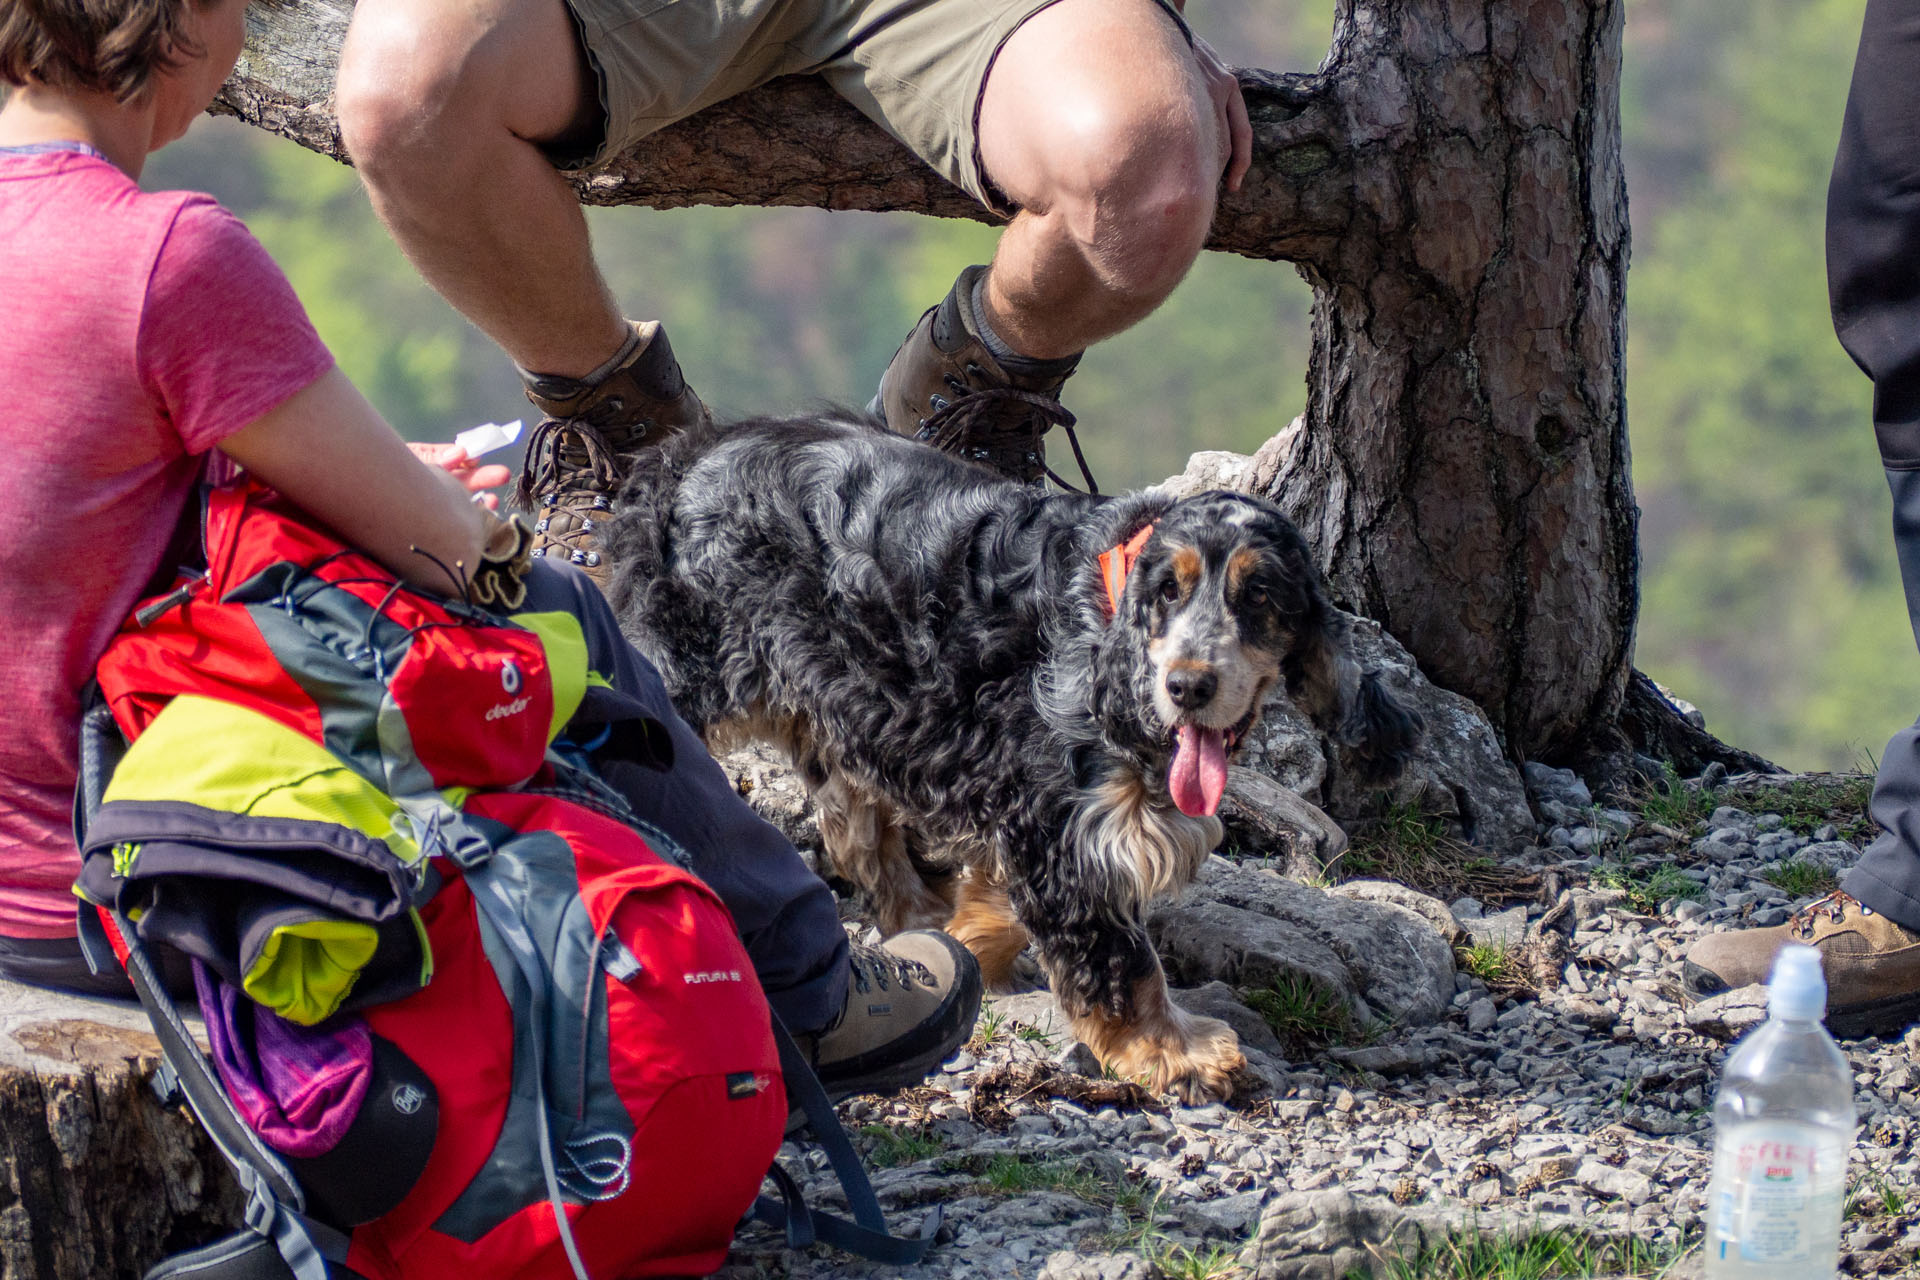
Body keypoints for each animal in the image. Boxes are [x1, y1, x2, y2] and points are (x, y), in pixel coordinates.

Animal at [606, 412, 1420, 1105]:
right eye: (1167, 591)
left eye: (1259, 597)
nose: (1187, 686)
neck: (1109, 614)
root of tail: (686, 457)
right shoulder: (1069, 826)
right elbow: (1123, 961)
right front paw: (1174, 1053)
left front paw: (972, 943)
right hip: (691, 680)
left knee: (859, 829)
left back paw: (920, 920)